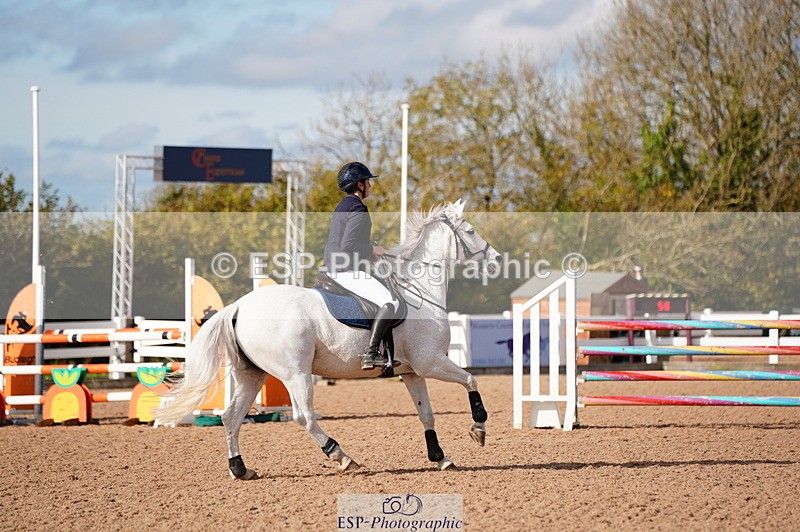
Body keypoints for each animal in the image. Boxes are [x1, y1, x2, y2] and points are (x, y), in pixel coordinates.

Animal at [156, 199, 502, 479]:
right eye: (471, 230)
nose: (497, 259)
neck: (420, 294)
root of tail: (239, 305)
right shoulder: (430, 363)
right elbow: (471, 380)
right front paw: (479, 428)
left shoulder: (412, 373)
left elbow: (426, 413)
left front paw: (440, 458)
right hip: (295, 373)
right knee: (304, 417)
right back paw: (342, 456)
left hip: (252, 374)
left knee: (231, 417)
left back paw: (240, 469)